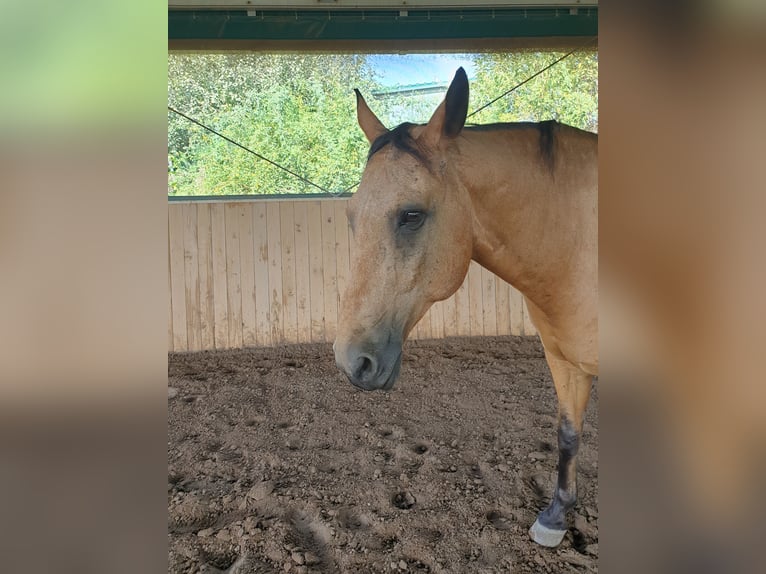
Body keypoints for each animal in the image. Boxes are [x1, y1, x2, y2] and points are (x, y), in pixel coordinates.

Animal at [336, 68, 600, 548]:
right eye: (352, 217)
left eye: (412, 215)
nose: (351, 362)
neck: (579, 244)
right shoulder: (564, 359)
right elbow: (568, 433)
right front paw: (555, 517)